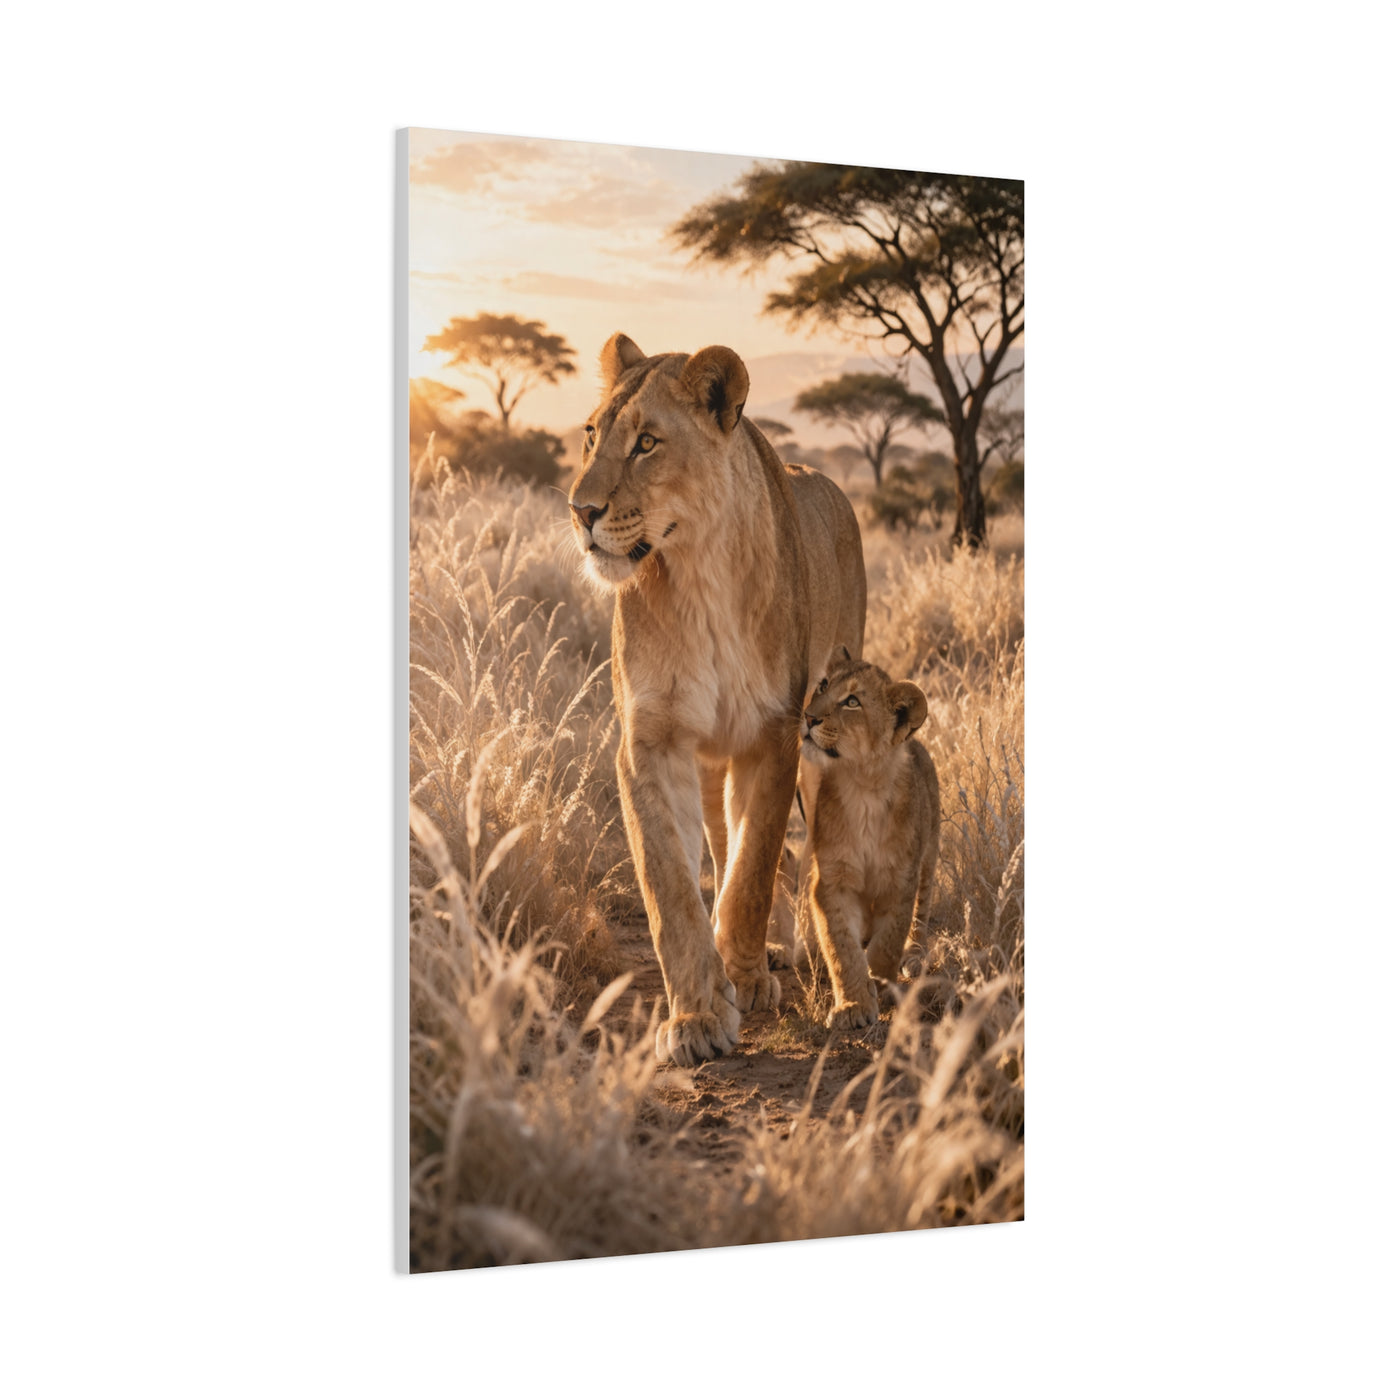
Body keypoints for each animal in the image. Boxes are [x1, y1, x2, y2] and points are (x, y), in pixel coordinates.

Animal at [568, 333, 866, 1066]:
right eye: (591, 436)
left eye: (647, 443)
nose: (580, 512)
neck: (697, 571)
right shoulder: (650, 740)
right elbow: (671, 885)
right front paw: (698, 1013)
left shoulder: (776, 733)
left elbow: (753, 866)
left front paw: (746, 974)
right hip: (707, 758)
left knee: (782, 851)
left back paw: (780, 954)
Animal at [797, 651, 939, 1030]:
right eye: (823, 685)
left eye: (852, 702)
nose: (809, 716)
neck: (862, 786)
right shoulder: (831, 882)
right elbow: (841, 948)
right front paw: (853, 1005)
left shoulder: (901, 880)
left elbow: (887, 943)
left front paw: (880, 981)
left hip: (928, 860)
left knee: (921, 916)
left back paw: (914, 956)